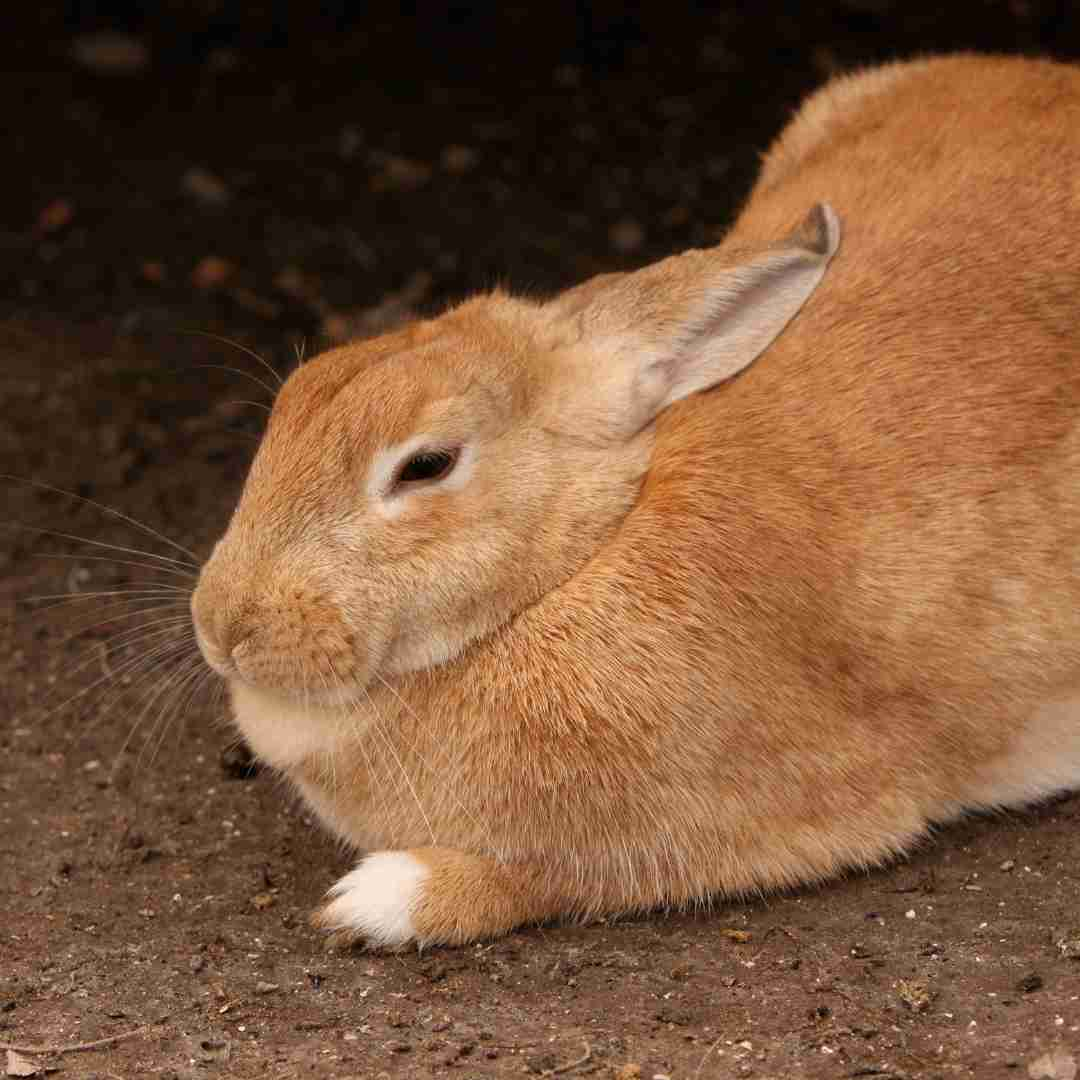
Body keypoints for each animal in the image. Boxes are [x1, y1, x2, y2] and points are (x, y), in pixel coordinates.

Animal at [190, 52, 1080, 946]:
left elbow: (555, 875)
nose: (222, 626)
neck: (584, 556)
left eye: (426, 465)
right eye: (294, 399)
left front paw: (373, 901)